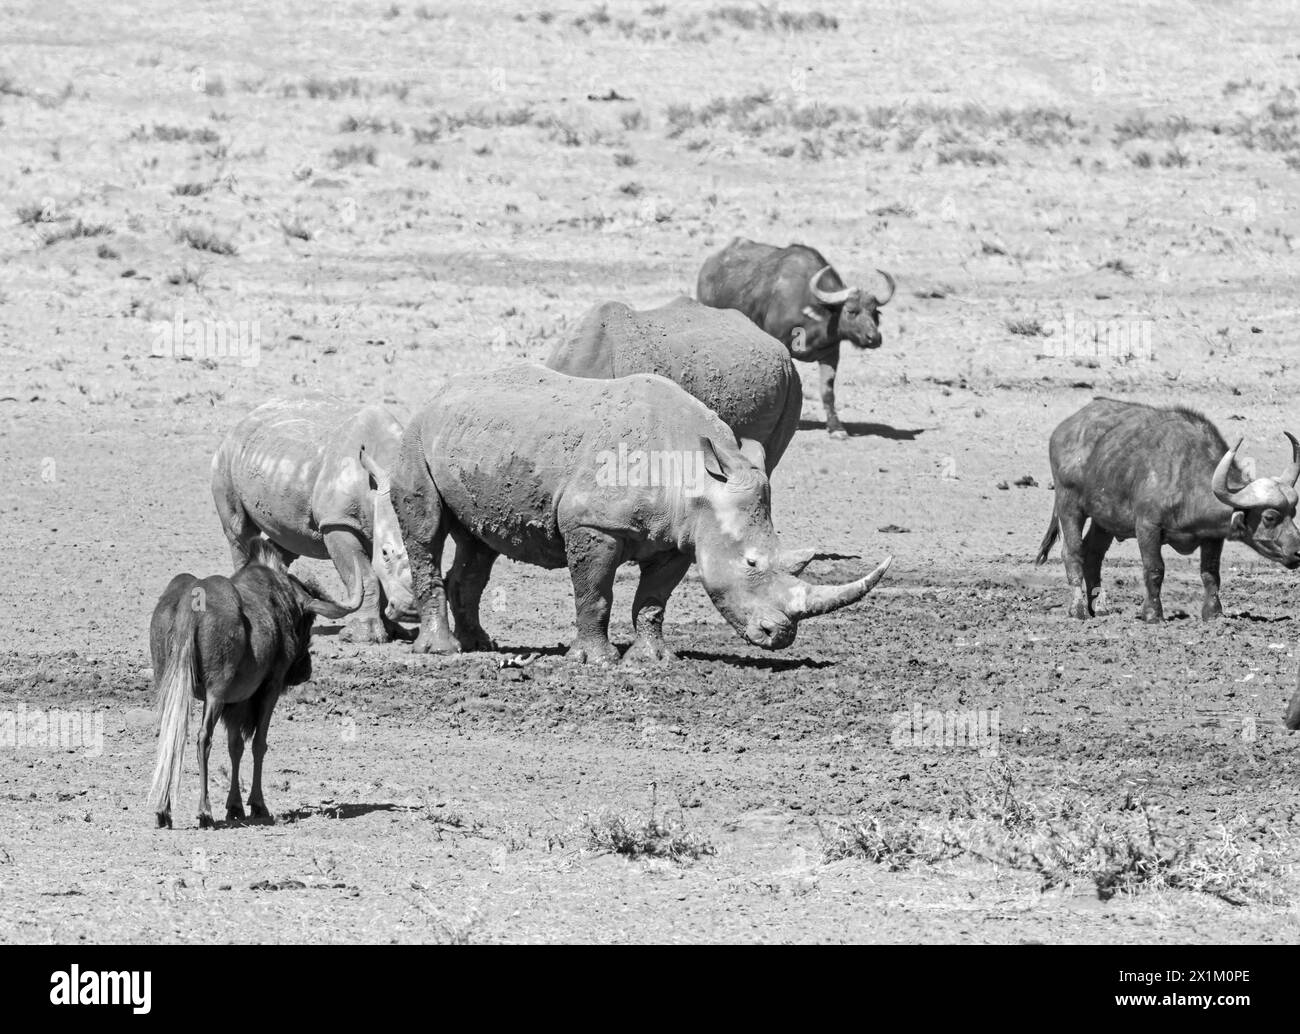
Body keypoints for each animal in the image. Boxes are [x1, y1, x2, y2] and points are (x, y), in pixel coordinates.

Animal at [148, 538, 356, 827]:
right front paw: (257, 804)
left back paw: (163, 810)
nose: (304, 671)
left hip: (170, 685)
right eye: (309, 619)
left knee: (171, 735)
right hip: (216, 691)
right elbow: (259, 743)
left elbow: (235, 746)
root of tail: (191, 603)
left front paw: (234, 805)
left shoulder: (236, 701)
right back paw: (204, 811)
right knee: (203, 738)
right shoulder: (269, 689)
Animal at [390, 364, 889, 665]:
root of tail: (439, 392)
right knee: (427, 531)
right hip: (415, 436)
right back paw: (442, 652)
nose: (780, 636)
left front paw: (653, 660)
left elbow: (653, 600)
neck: (698, 474)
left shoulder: (681, 538)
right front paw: (597, 661)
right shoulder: (592, 525)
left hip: (478, 444)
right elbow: (595, 594)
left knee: (479, 542)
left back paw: (480, 645)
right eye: (750, 563)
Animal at [702, 238, 894, 437]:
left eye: (875, 312)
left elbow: (827, 391)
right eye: (851, 311)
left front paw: (836, 427)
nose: (874, 338)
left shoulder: (831, 354)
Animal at [1034, 397, 1300, 621]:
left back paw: (1098, 607)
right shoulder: (1147, 527)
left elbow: (1211, 574)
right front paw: (1153, 614)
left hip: (1104, 521)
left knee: (1093, 555)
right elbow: (1155, 569)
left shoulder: (1212, 536)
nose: (1298, 551)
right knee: (1073, 553)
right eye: (1269, 516)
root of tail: (1063, 429)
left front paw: (1213, 614)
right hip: (1069, 504)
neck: (1187, 479)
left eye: (1293, 513)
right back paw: (1079, 610)